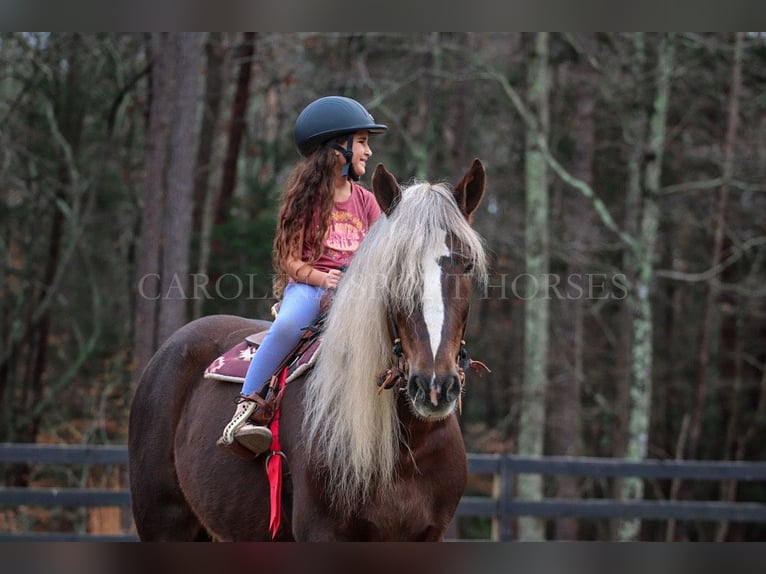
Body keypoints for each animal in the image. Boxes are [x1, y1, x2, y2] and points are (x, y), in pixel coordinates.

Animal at [126, 160, 486, 544]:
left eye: (467, 264)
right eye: (393, 270)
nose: (434, 386)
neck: (409, 448)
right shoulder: (323, 532)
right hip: (163, 522)